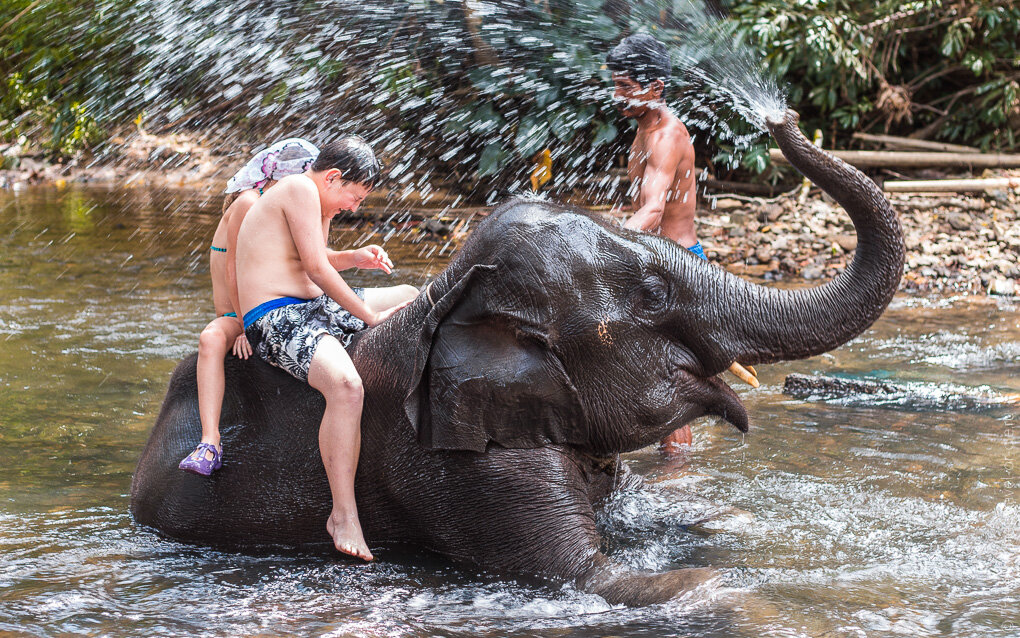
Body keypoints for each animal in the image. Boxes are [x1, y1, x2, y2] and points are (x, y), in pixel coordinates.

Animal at [131, 110, 905, 608]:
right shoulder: (460, 461)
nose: (782, 118)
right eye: (653, 293)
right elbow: (586, 579)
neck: (451, 300)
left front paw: (734, 525)